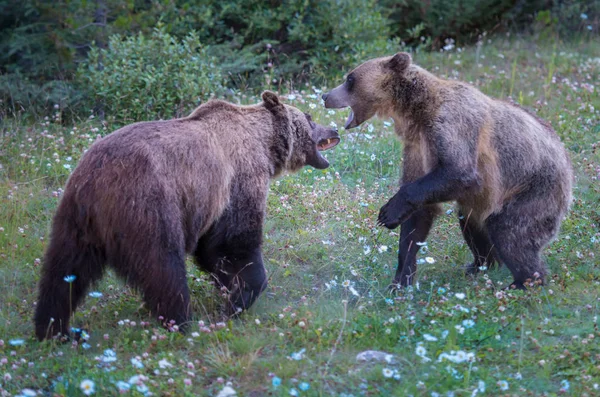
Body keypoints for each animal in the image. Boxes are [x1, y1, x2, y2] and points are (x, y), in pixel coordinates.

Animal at [35, 91, 340, 338]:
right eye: (309, 117)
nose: (334, 127)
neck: (264, 145)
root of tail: (96, 182)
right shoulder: (237, 181)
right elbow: (235, 242)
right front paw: (241, 297)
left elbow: (214, 251)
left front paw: (232, 292)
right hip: (148, 205)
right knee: (162, 265)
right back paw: (182, 321)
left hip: (73, 219)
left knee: (64, 271)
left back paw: (55, 329)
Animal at [324, 51, 572, 288]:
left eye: (350, 79)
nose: (325, 96)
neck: (416, 112)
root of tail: (567, 162)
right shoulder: (417, 147)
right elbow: (417, 217)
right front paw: (401, 280)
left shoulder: (451, 125)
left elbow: (459, 172)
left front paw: (388, 212)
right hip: (485, 201)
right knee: (472, 222)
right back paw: (480, 265)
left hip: (534, 188)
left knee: (511, 232)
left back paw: (523, 282)